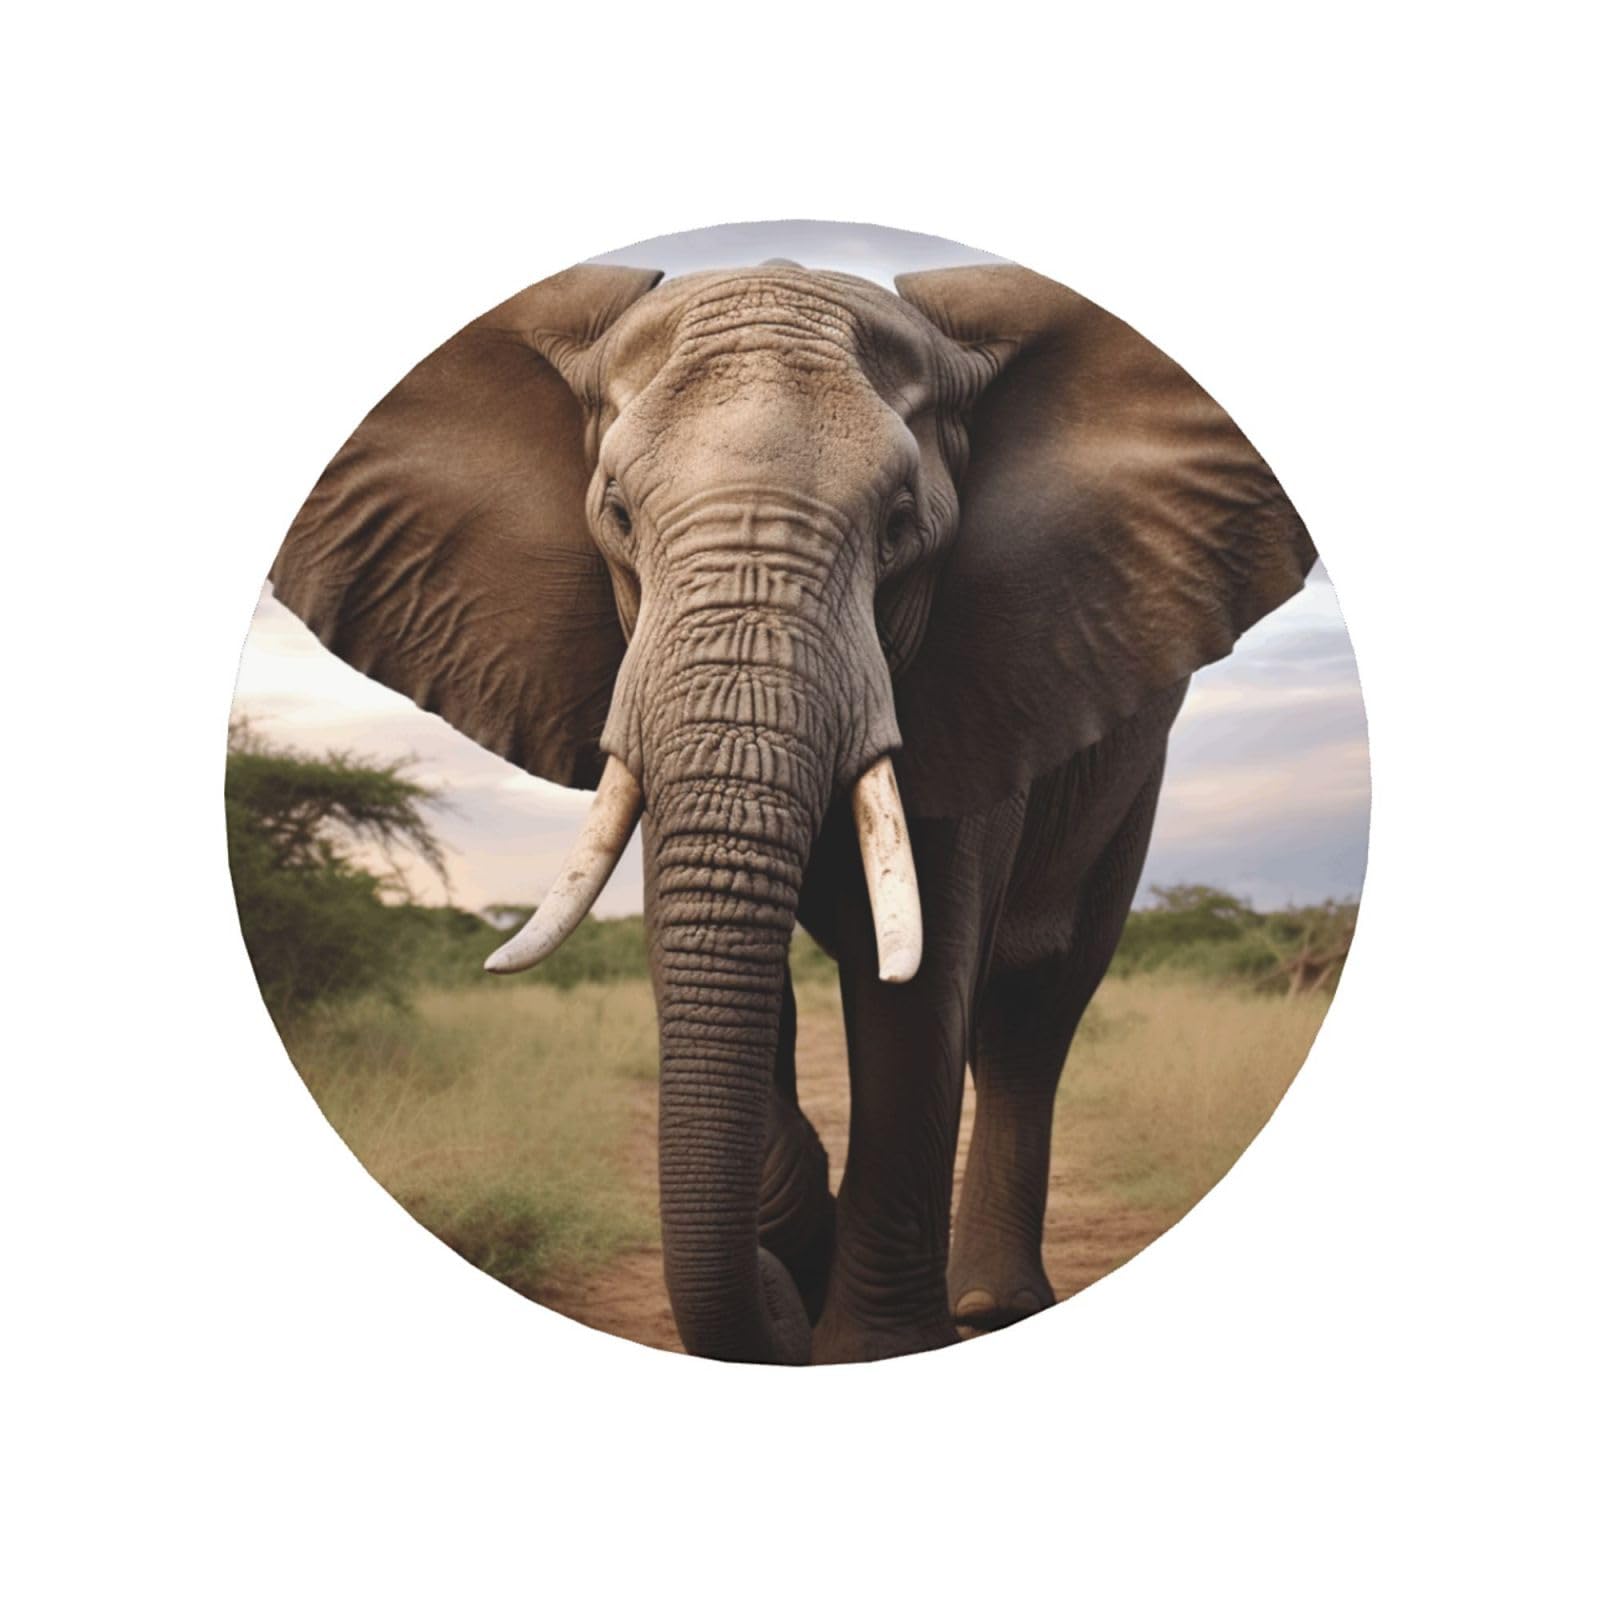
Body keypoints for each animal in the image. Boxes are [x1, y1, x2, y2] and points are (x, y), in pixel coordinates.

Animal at [269, 257, 1315, 1365]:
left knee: (1035, 1007)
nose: (778, 1291)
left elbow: (921, 983)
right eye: (617, 515)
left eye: (899, 525)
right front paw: (795, 1261)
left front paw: (866, 1343)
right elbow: (695, 944)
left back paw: (992, 1306)